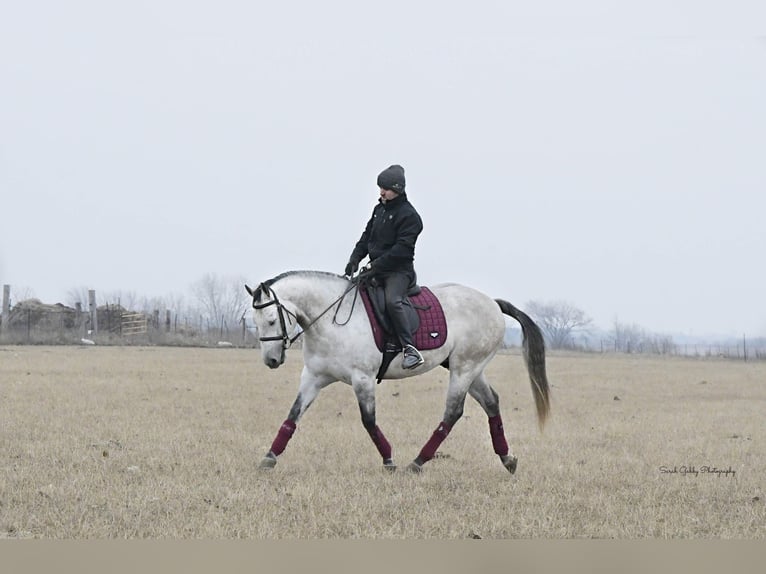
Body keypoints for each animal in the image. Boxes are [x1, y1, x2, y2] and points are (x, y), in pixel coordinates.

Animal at [246, 272, 552, 474]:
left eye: (271, 320)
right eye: (256, 322)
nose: (271, 360)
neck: (334, 320)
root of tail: (492, 303)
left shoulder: (363, 378)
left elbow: (369, 421)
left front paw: (389, 460)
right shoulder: (313, 377)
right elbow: (292, 416)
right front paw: (269, 457)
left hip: (464, 369)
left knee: (453, 413)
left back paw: (417, 462)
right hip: (471, 369)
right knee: (491, 403)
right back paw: (507, 459)